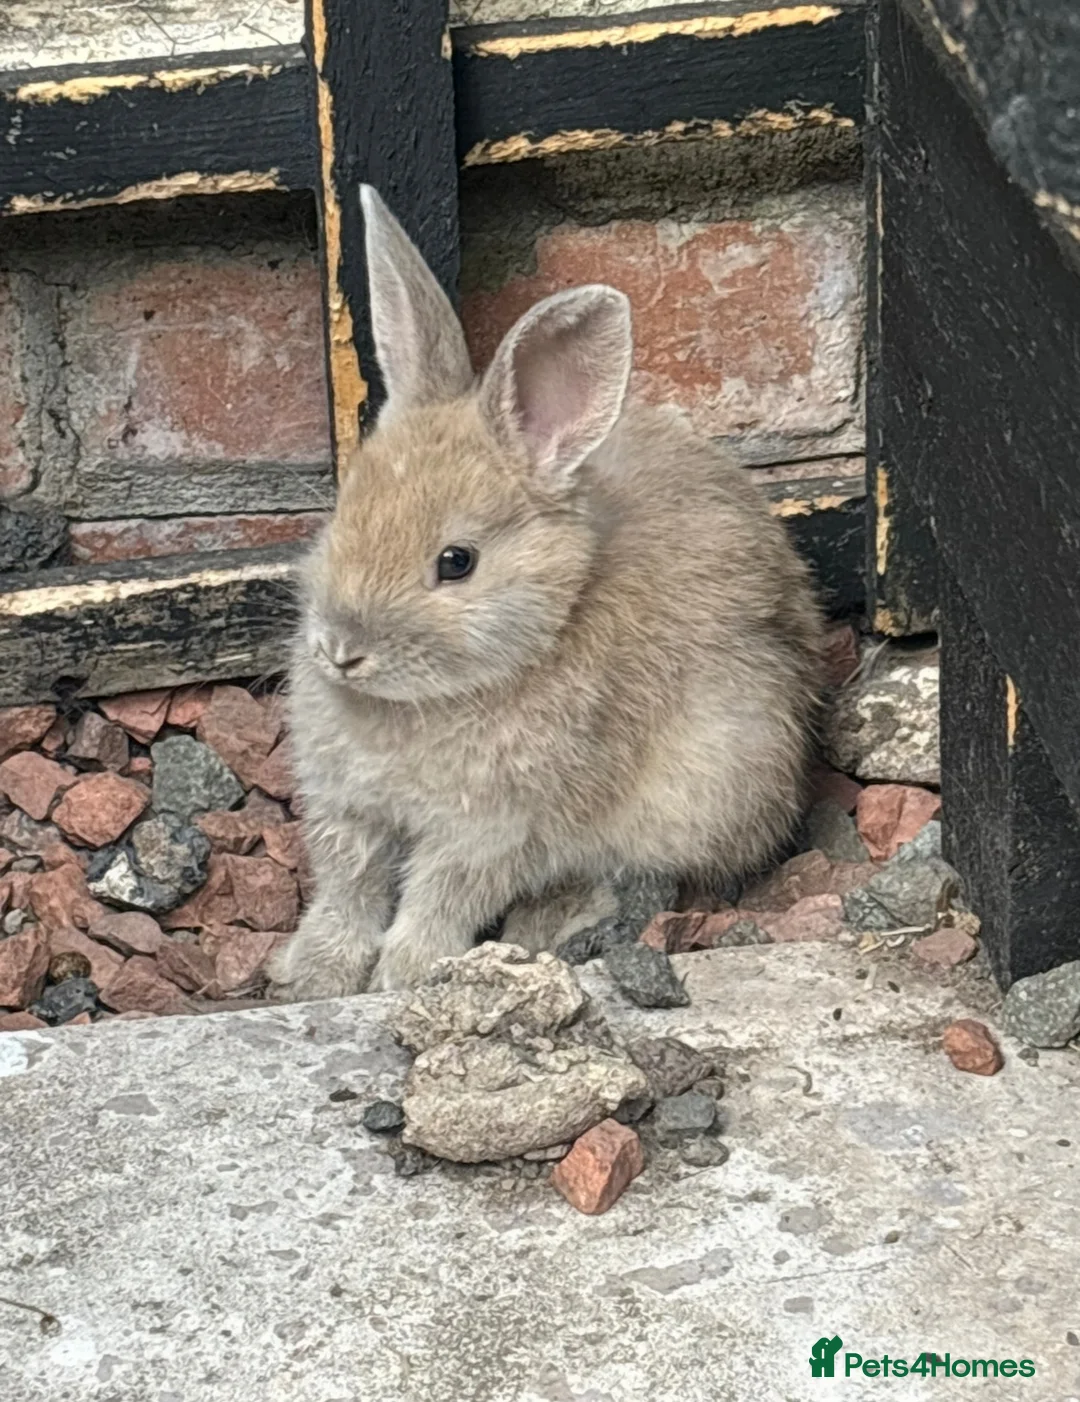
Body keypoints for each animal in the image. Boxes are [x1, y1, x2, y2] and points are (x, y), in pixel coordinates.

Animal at [266, 185, 824, 999]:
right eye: (343, 513)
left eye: (456, 562)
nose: (340, 650)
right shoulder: (351, 814)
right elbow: (350, 890)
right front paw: (312, 974)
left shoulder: (492, 831)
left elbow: (438, 899)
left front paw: (408, 977)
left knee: (637, 875)